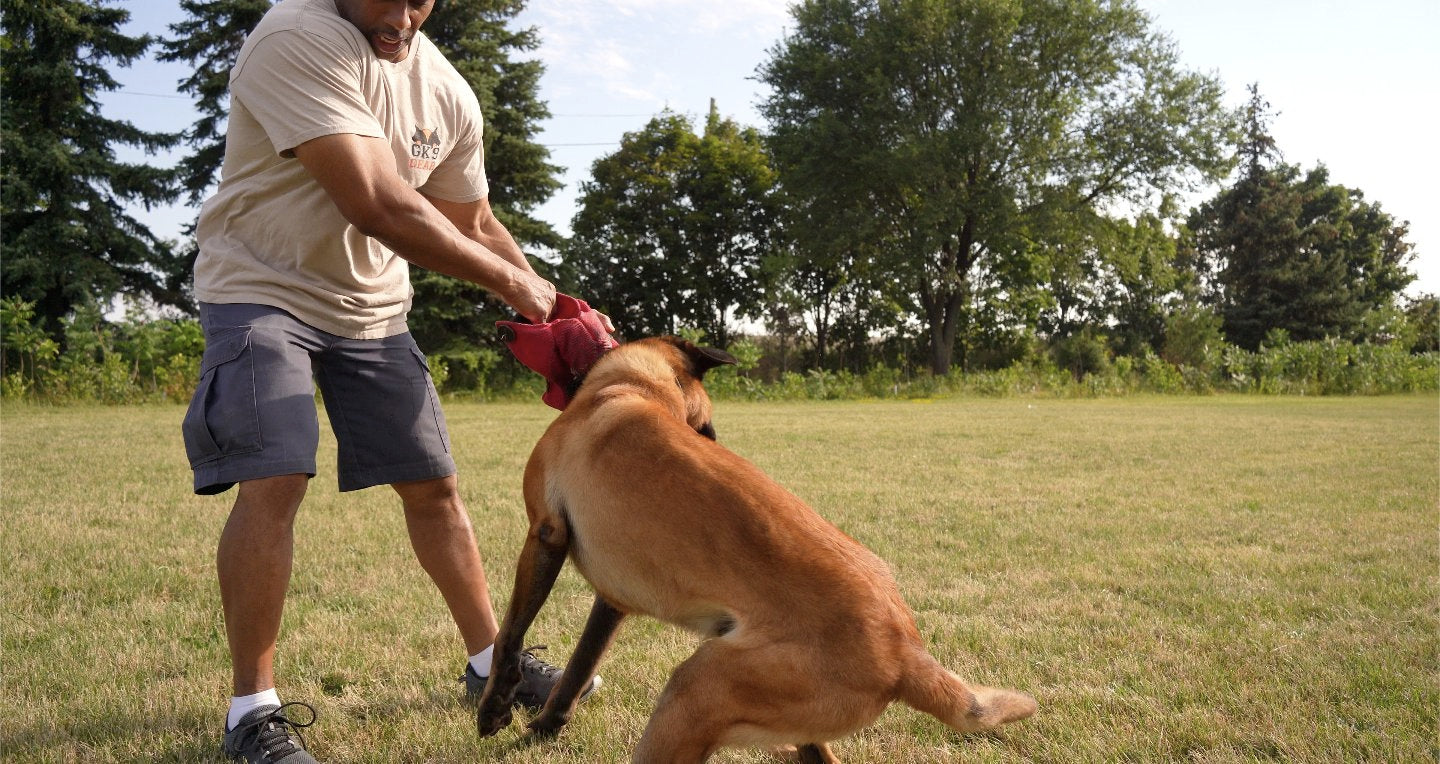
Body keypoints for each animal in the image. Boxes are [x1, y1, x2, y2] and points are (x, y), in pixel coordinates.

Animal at [480, 338, 1036, 759]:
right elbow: (578, 668)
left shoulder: (545, 533)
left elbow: (510, 633)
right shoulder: (612, 601)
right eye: (704, 431)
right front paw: (546, 724)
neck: (636, 389)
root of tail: (908, 655)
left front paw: (494, 707)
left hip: (692, 692)